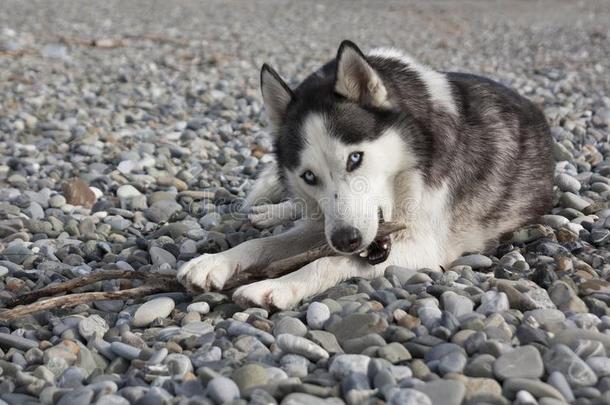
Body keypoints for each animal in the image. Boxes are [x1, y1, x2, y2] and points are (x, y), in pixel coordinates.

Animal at [175, 40, 552, 310]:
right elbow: (265, 244)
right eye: (309, 176)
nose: (347, 239)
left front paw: (276, 285)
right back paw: (271, 212)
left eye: (355, 158)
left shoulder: (424, 247)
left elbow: (329, 263)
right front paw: (215, 262)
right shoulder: (330, 224)